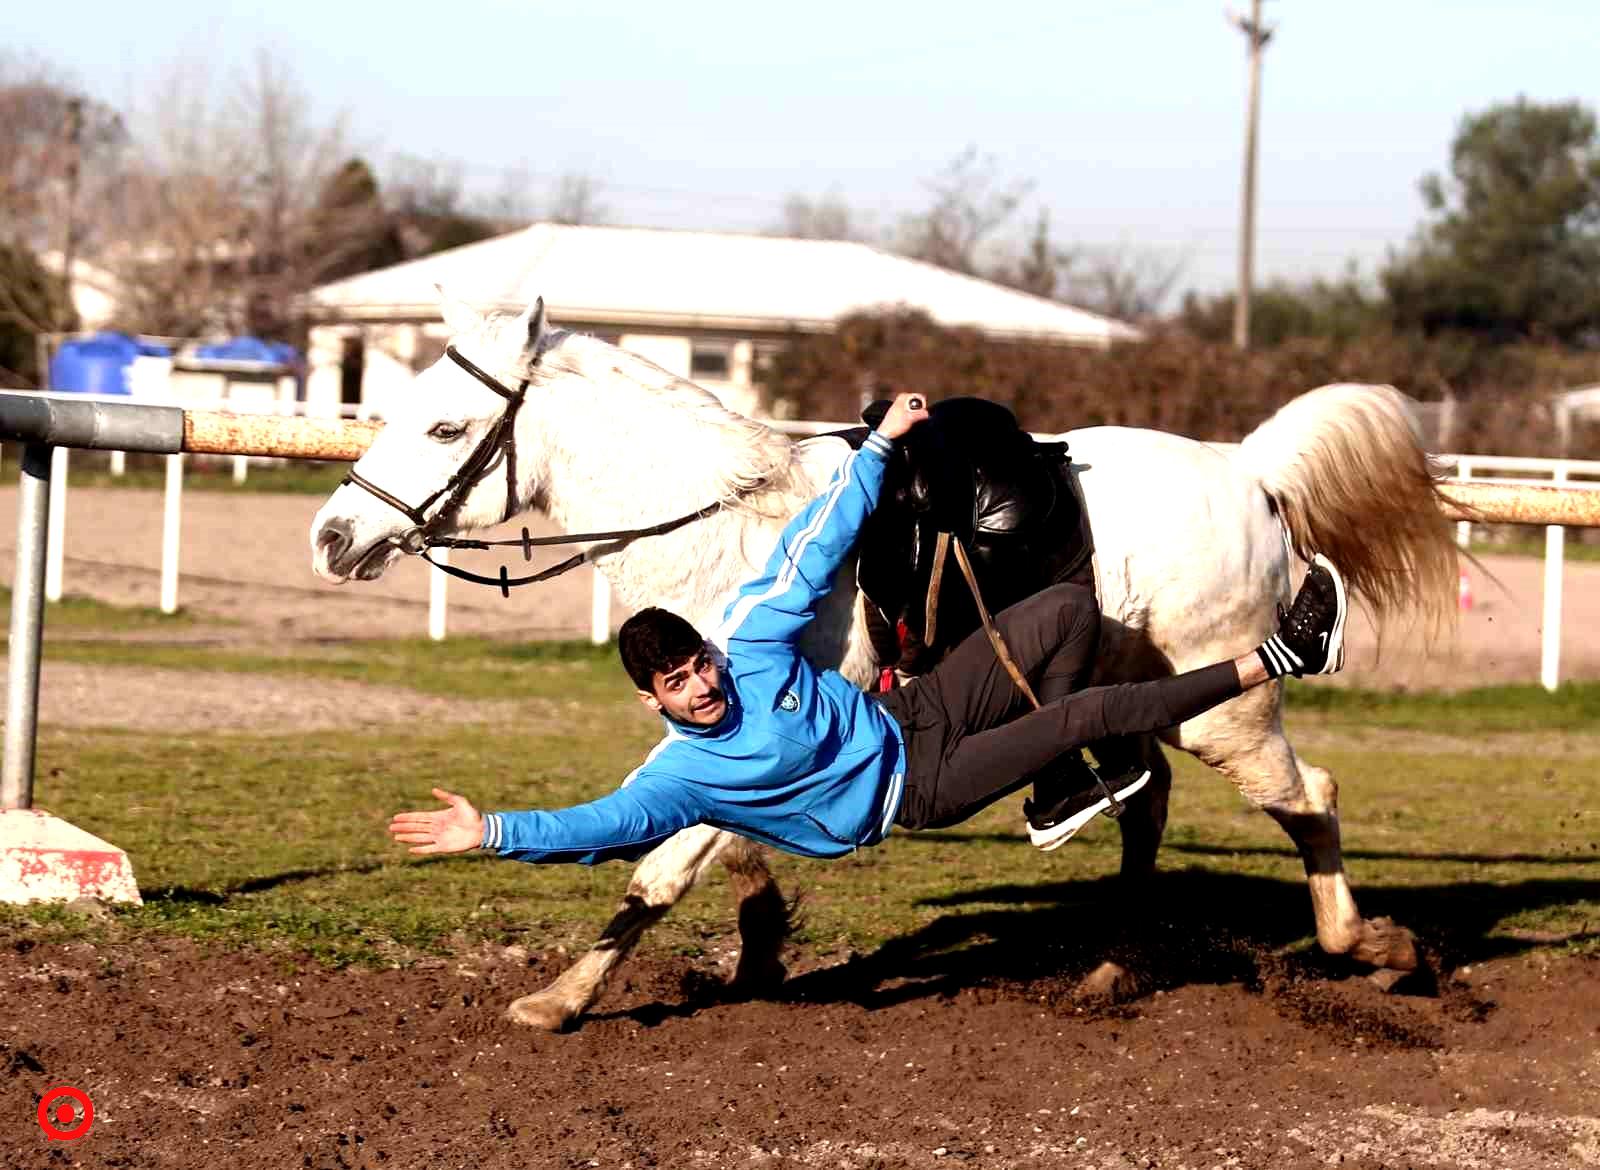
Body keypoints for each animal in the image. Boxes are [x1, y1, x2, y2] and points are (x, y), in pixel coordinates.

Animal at [305, 294, 1459, 1037]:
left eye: (444, 425)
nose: (331, 537)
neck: (729, 519)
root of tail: (1249, 473)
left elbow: (665, 866)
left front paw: (562, 999)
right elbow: (724, 846)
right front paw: (760, 944)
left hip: (1225, 713)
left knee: (1310, 797)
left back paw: (1377, 949)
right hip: (1135, 697)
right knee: (1145, 800)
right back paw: (1108, 965)